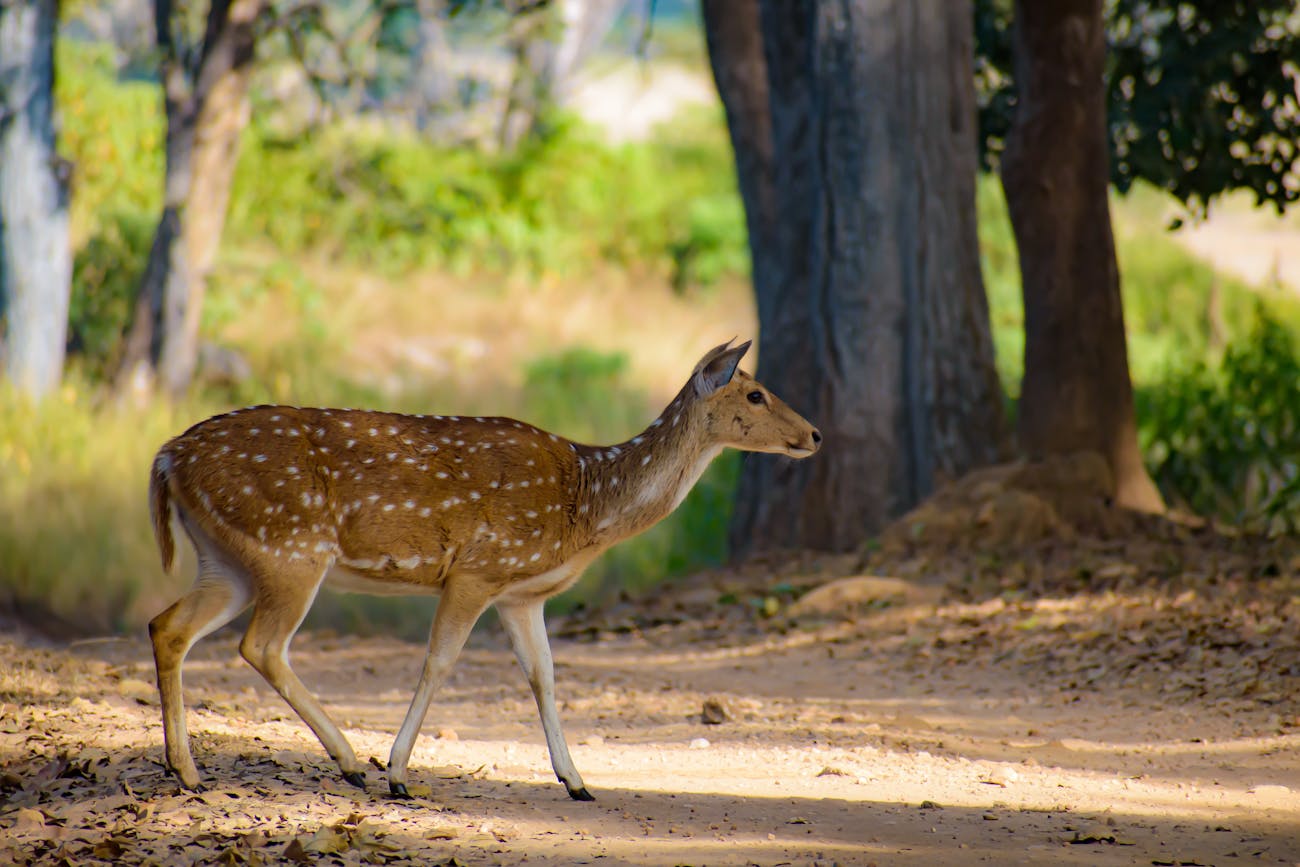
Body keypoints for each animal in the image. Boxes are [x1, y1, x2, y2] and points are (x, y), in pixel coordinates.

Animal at [147, 337, 816, 800]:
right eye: (755, 393)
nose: (814, 434)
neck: (586, 506)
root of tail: (166, 456)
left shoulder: (523, 593)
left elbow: (544, 675)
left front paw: (576, 781)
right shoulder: (477, 569)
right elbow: (439, 662)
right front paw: (398, 774)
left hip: (228, 559)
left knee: (168, 626)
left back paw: (188, 771)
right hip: (290, 548)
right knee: (261, 645)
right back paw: (350, 762)